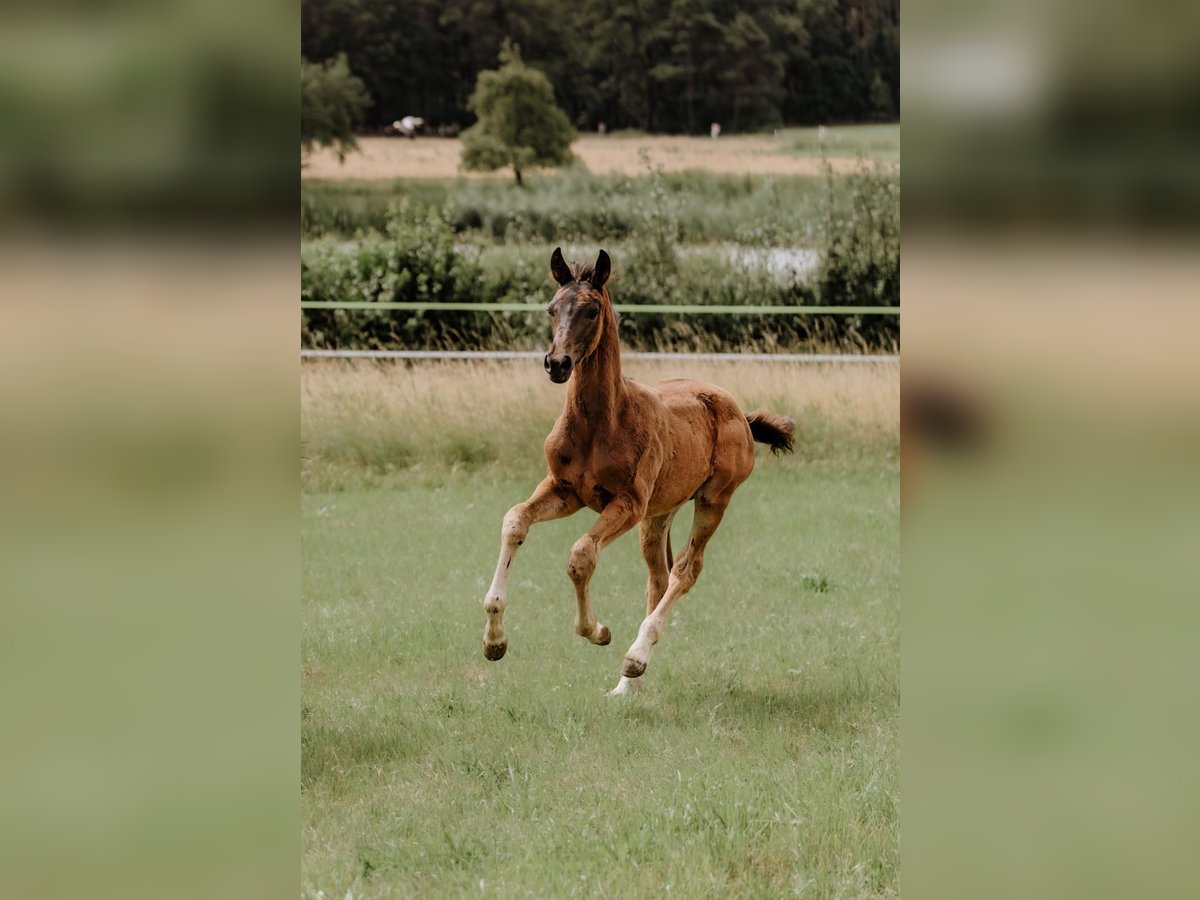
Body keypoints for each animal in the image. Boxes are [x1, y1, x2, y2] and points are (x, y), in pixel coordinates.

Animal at [477, 248, 796, 696]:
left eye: (591, 310)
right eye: (552, 308)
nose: (557, 363)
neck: (600, 423)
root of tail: (739, 413)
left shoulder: (627, 503)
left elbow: (581, 554)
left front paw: (597, 630)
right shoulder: (563, 489)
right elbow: (514, 521)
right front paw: (494, 642)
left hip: (712, 499)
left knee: (685, 570)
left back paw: (635, 658)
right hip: (658, 513)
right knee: (658, 578)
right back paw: (626, 686)